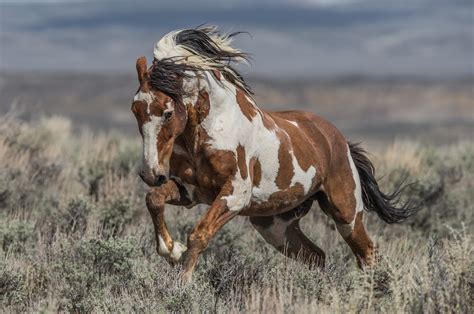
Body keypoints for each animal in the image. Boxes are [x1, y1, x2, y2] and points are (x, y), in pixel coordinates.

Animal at [131, 27, 416, 282]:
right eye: (135, 110)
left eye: (168, 112)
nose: (151, 173)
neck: (207, 132)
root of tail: (339, 140)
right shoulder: (190, 191)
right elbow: (154, 199)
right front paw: (172, 251)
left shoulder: (234, 195)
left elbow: (199, 234)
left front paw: (182, 283)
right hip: (276, 227)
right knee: (317, 256)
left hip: (346, 213)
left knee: (367, 252)